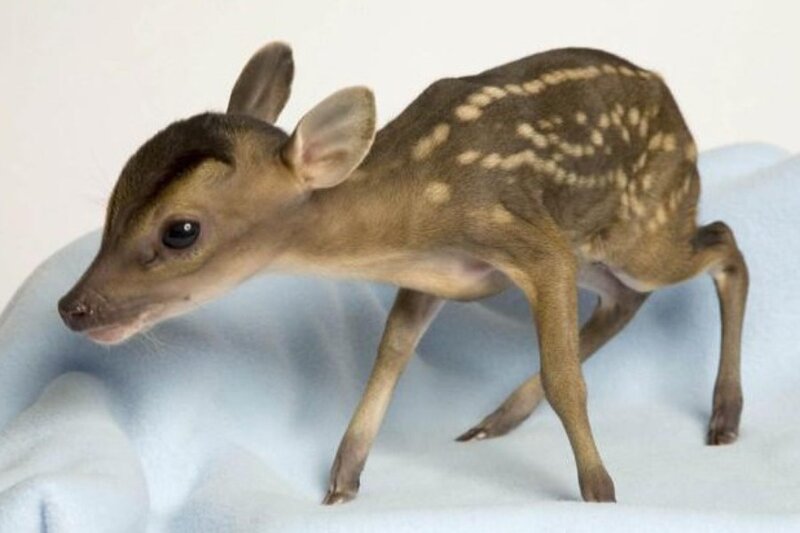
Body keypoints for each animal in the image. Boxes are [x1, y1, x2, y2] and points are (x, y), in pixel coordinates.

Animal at [58, 41, 748, 505]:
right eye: (115, 198)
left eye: (180, 230)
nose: (72, 308)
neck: (411, 213)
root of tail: (679, 117)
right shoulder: (432, 277)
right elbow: (390, 352)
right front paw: (342, 481)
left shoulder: (530, 241)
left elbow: (564, 379)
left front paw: (600, 492)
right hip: (599, 249)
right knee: (626, 299)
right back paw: (495, 421)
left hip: (644, 226)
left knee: (723, 244)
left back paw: (723, 419)